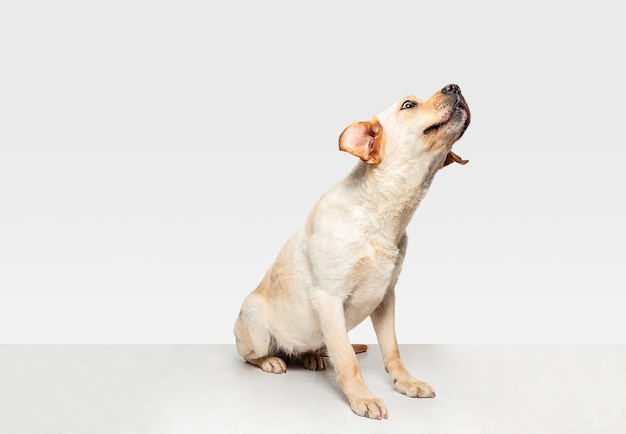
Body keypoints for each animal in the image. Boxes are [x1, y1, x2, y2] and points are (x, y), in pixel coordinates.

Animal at [234, 83, 468, 418]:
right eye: (408, 105)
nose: (455, 86)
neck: (380, 215)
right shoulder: (328, 299)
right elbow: (346, 361)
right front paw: (362, 398)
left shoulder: (386, 297)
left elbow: (392, 350)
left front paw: (405, 382)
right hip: (255, 323)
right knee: (250, 356)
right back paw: (271, 360)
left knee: (320, 348)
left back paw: (314, 356)